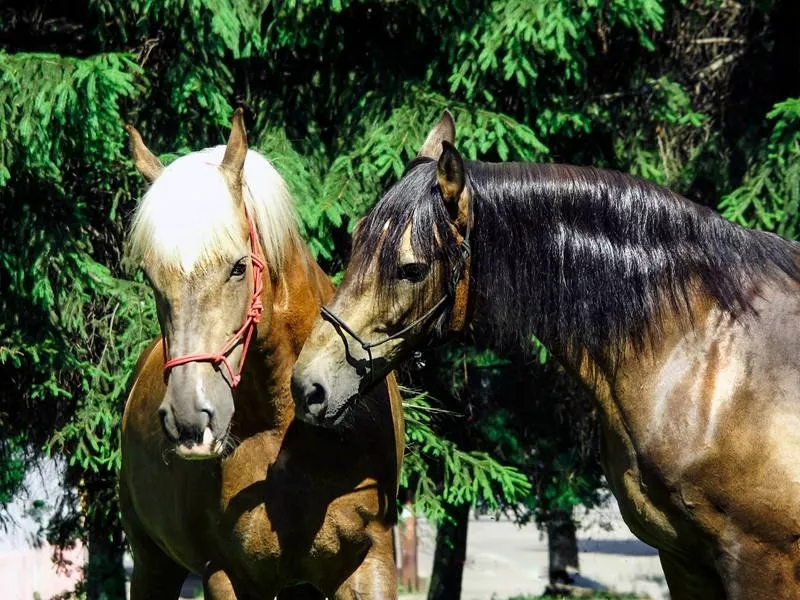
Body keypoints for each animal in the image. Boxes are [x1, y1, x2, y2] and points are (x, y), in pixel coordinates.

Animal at [119, 110, 406, 596]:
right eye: (152, 278)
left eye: (238, 267)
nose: (189, 418)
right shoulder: (227, 574)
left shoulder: (370, 562)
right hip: (151, 563)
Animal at [292, 111, 800, 596]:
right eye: (357, 242)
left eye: (412, 269)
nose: (307, 386)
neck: (707, 357)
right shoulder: (683, 561)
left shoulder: (759, 563)